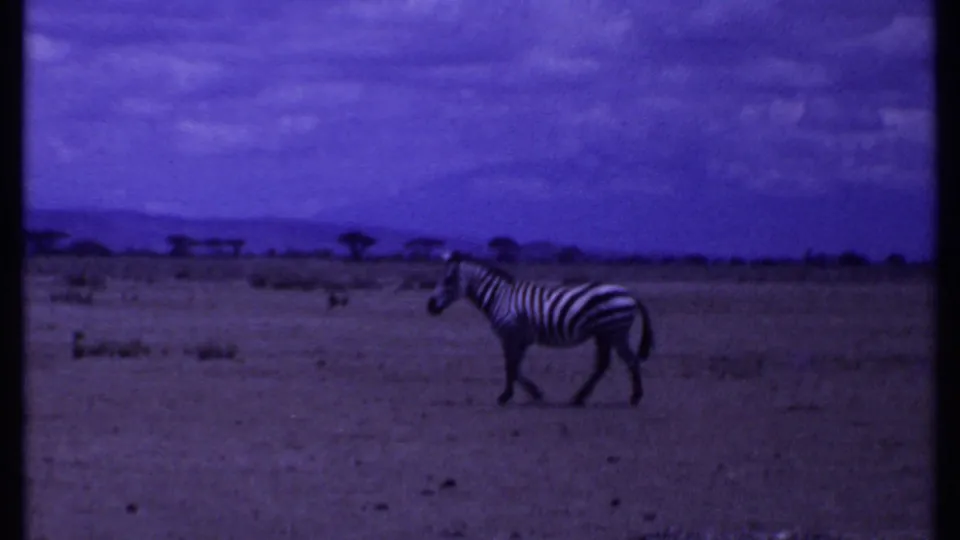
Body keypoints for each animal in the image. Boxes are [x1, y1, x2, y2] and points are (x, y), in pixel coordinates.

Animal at [426, 251, 655, 407]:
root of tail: (629, 294)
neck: (500, 298)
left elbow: (511, 366)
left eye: (448, 280)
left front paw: (506, 396)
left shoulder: (511, 334)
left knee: (631, 360)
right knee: (603, 365)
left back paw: (635, 397)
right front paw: (535, 393)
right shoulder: (520, 338)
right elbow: (516, 368)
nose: (430, 306)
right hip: (604, 334)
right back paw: (579, 397)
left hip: (615, 331)